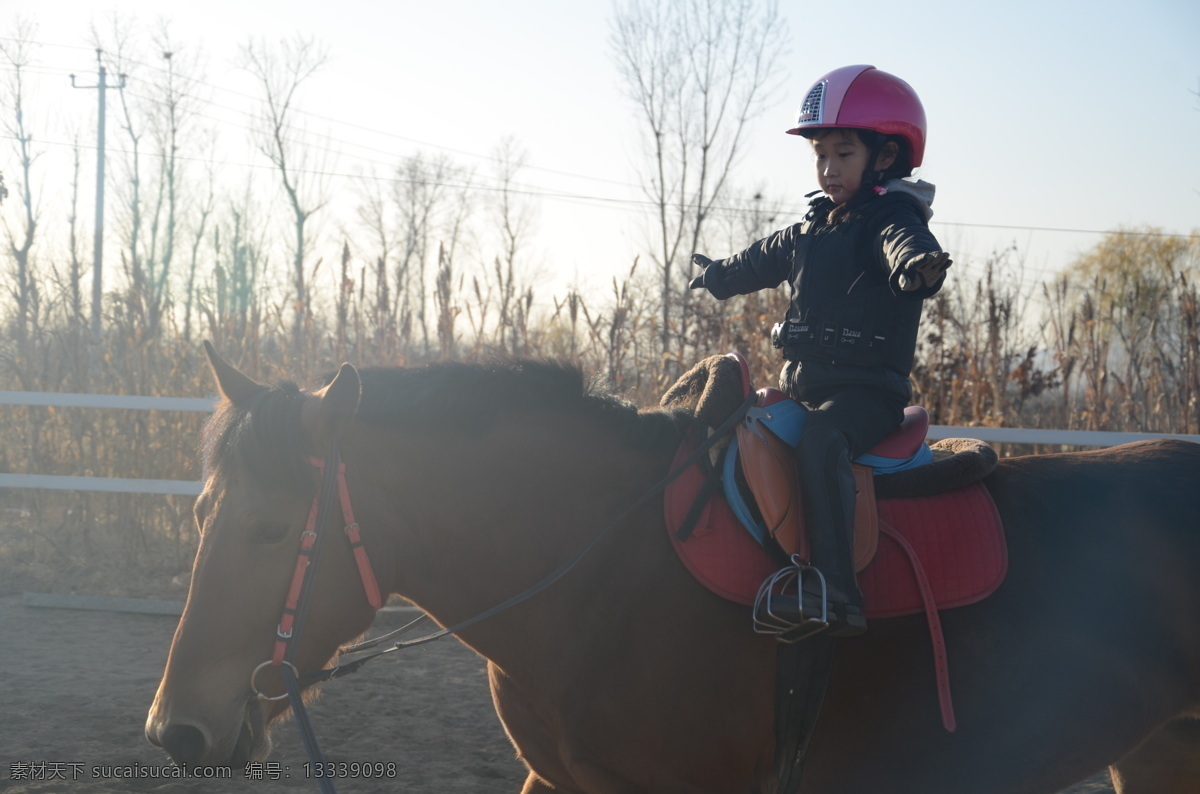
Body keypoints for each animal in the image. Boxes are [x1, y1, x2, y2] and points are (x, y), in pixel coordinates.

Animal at [146, 344, 1200, 794]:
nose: (175, 733)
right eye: (199, 515)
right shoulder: (566, 784)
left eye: (272, 530)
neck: (598, 571)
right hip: (1157, 753)